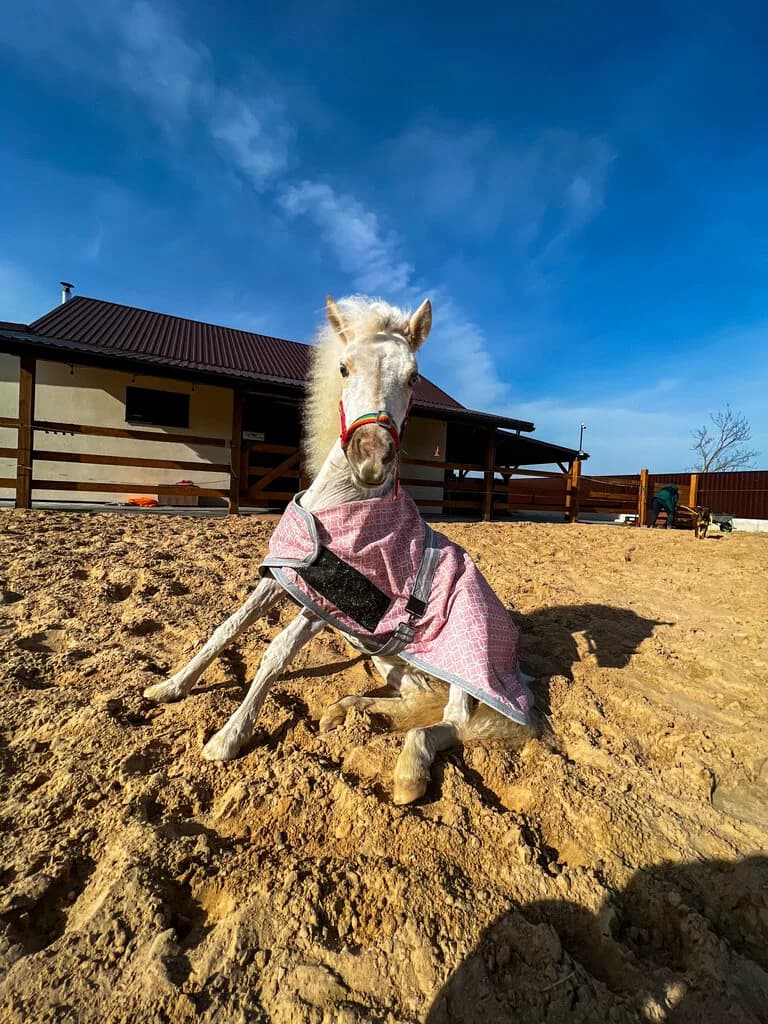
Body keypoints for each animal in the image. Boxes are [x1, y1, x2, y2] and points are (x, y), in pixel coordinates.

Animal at [144, 295, 538, 804]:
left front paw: (227, 738)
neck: (340, 503)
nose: (371, 459)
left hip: (459, 671)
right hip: (380, 653)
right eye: (344, 367)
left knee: (453, 720)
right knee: (416, 697)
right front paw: (170, 687)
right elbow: (225, 629)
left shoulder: (325, 603)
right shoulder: (285, 575)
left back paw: (408, 771)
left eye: (414, 376)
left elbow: (274, 653)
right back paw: (344, 712)